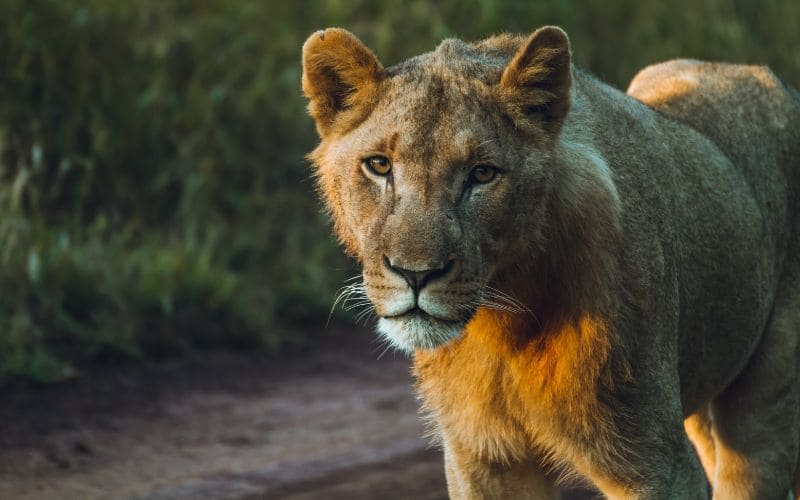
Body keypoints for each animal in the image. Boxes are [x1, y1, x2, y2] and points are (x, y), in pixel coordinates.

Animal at [301, 26, 800, 499]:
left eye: (482, 173)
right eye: (379, 165)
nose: (416, 274)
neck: (500, 326)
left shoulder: (656, 462)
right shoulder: (482, 457)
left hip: (762, 413)